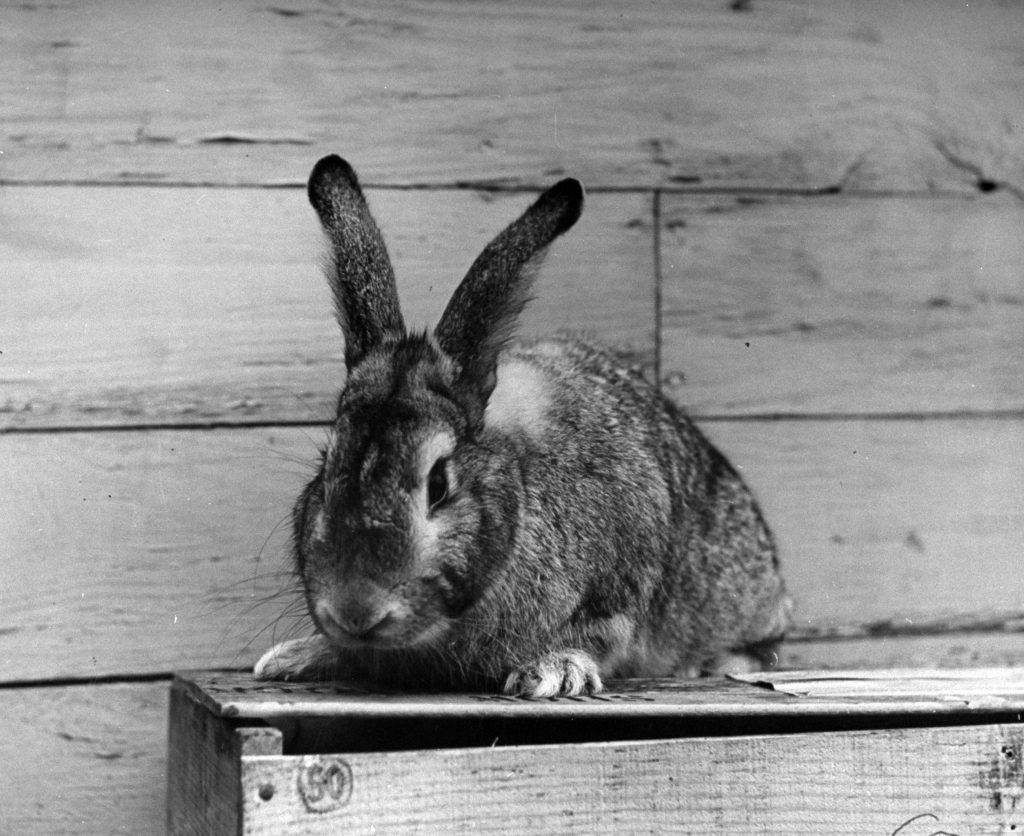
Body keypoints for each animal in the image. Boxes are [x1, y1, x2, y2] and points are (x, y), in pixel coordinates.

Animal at [253, 154, 790, 700]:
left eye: (439, 484)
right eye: (326, 471)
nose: (356, 611)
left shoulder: (617, 589)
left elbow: (596, 635)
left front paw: (552, 671)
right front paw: (295, 658)